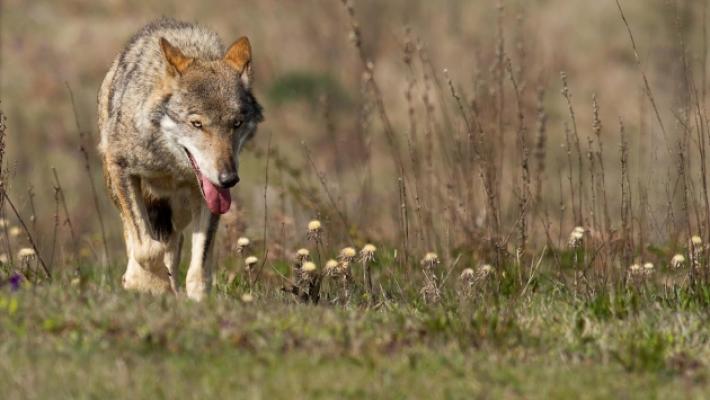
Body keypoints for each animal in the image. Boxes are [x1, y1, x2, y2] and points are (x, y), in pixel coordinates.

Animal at [97, 18, 263, 300]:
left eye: (236, 124)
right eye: (196, 124)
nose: (228, 179)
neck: (170, 165)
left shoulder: (210, 196)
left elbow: (199, 270)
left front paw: (196, 299)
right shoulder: (121, 167)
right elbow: (146, 248)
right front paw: (152, 286)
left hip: (180, 209)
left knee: (176, 242)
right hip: (121, 190)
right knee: (138, 237)